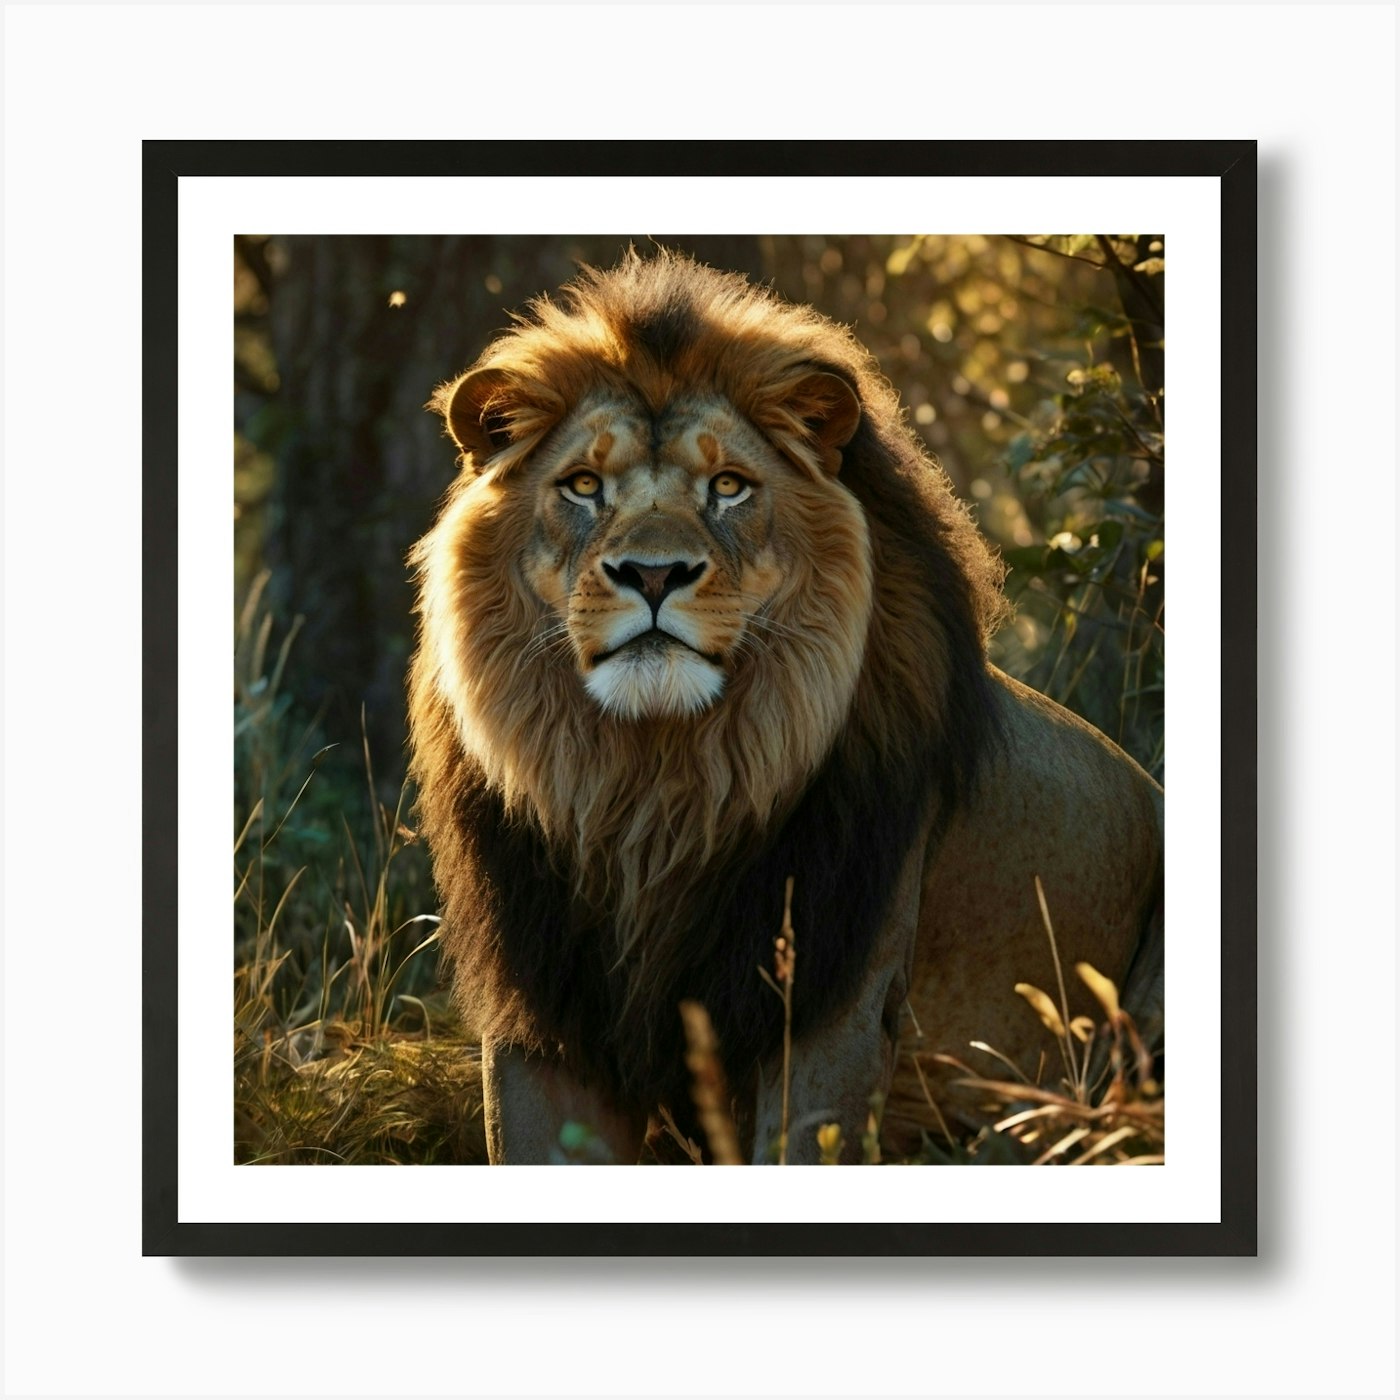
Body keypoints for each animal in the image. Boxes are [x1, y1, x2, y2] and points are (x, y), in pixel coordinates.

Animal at [407, 249, 1163, 1164]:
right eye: (583, 485)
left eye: (729, 486)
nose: (653, 574)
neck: (650, 789)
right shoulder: (543, 1006)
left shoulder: (834, 1001)